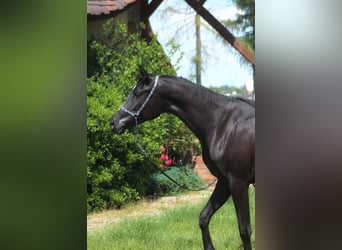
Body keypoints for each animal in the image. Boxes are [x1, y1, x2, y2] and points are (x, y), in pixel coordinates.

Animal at [111, 67, 255, 250]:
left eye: (137, 93)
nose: (113, 122)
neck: (225, 125)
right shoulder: (224, 181)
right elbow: (204, 217)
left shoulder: (238, 182)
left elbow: (244, 230)